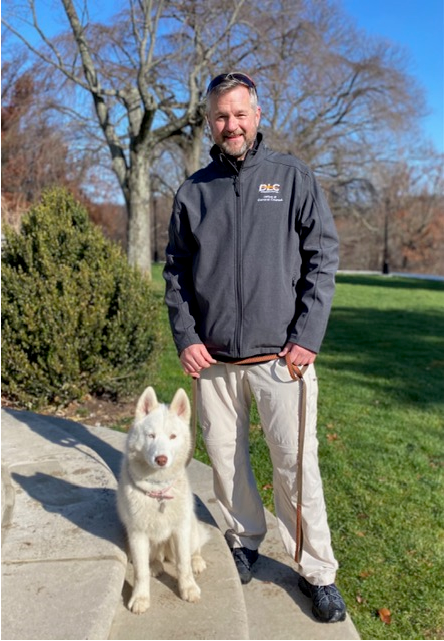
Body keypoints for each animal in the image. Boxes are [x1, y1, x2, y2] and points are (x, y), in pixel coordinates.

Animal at [117, 384, 209, 616]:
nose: (161, 459)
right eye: (151, 435)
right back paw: (156, 565)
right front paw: (140, 597)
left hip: (190, 530)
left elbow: (183, 565)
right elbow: (140, 572)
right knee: (154, 558)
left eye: (173, 436)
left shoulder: (180, 530)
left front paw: (188, 588)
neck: (157, 492)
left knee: (195, 548)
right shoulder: (137, 535)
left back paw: (197, 560)